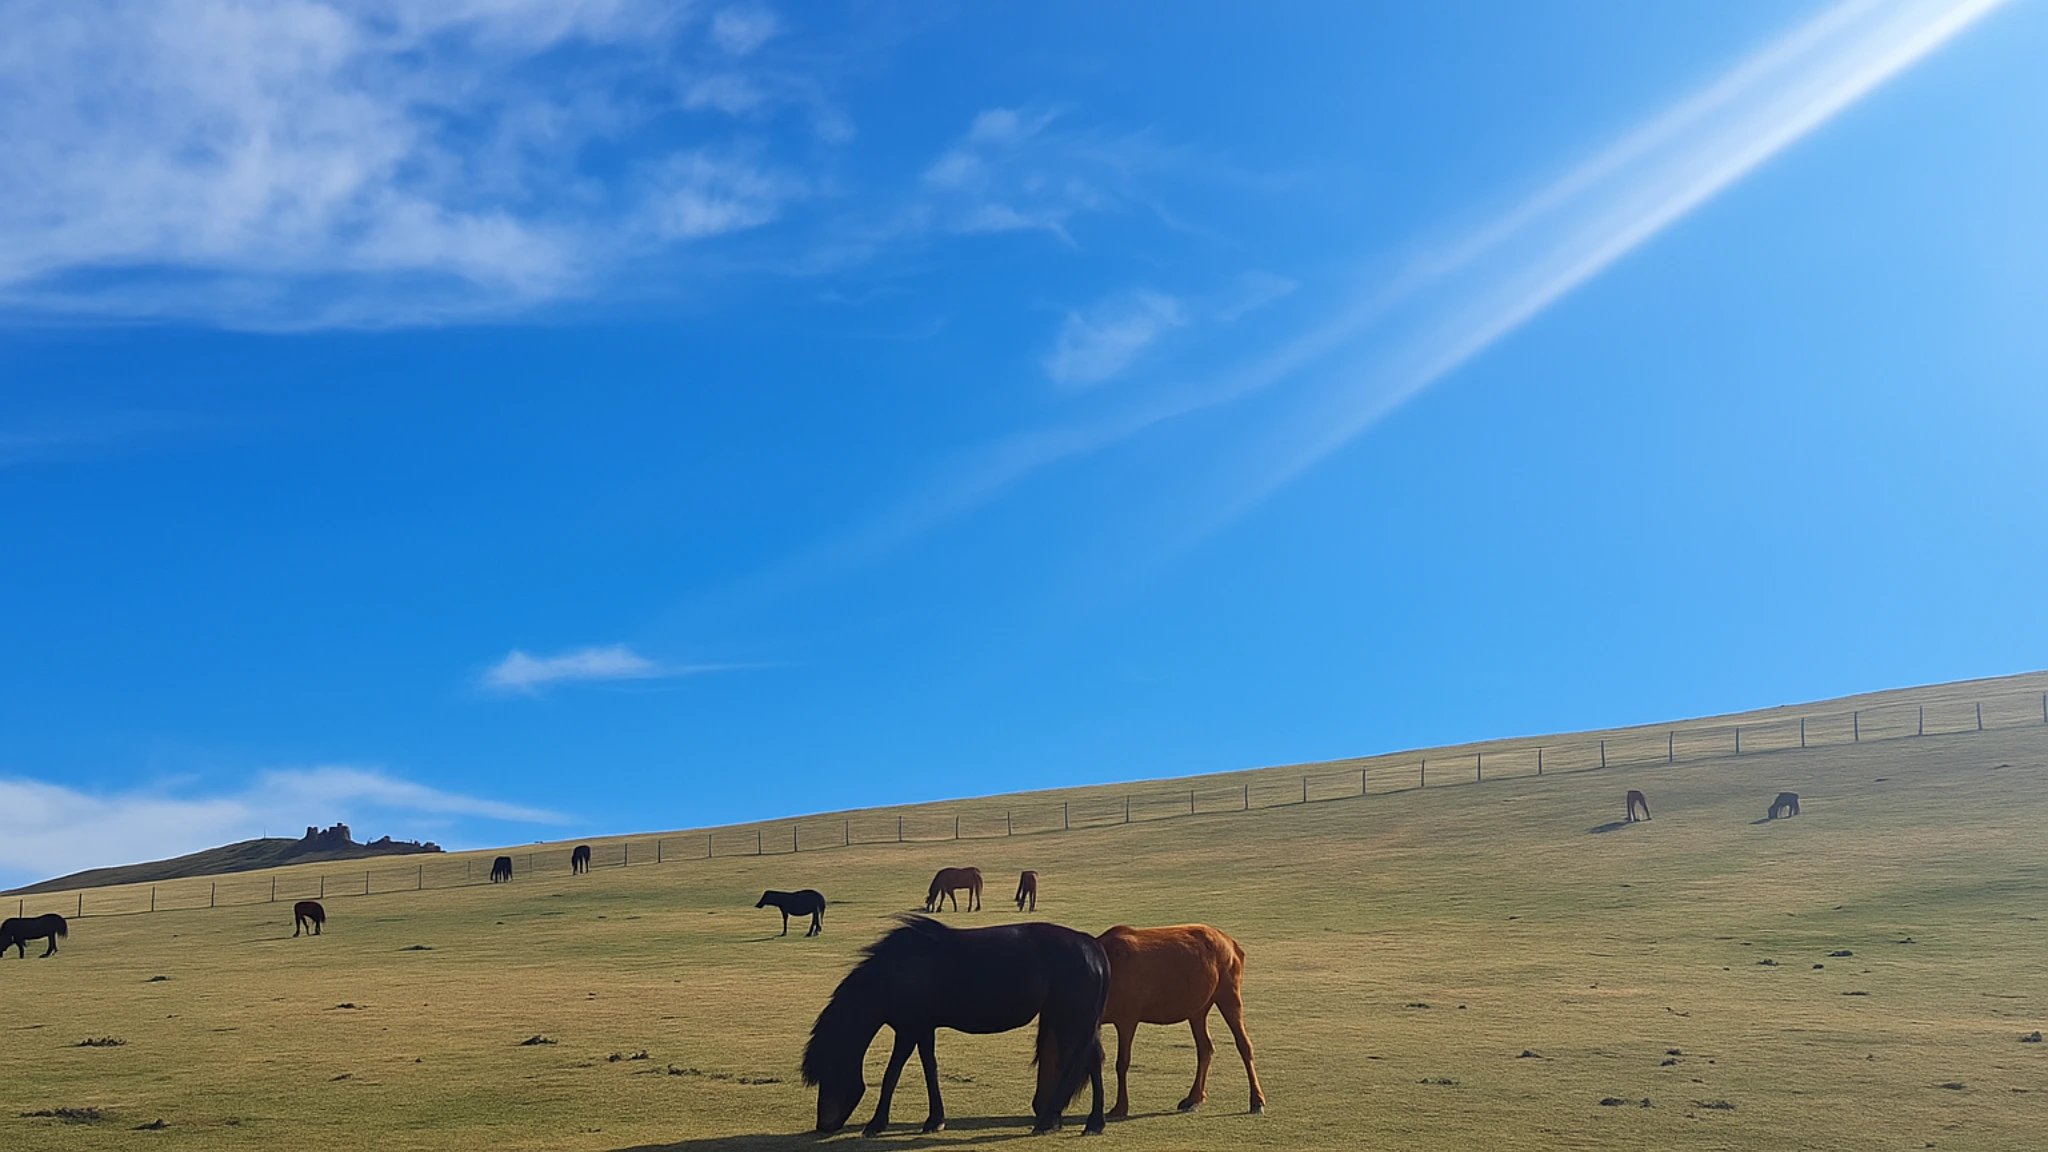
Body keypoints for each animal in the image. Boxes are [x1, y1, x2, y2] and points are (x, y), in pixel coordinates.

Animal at [803, 916, 1107, 1136]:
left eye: (828, 1074)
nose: (823, 1125)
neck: (898, 971)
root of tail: (1091, 945)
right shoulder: (923, 1029)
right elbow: (930, 1069)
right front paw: (934, 1119)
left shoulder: (908, 1030)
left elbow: (892, 1073)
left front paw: (876, 1124)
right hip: (1065, 1018)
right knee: (1087, 1061)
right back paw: (1070, 1121)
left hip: (1071, 1018)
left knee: (1082, 1063)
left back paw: (1072, 1122)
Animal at [1097, 924, 1265, 1118]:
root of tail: (1233, 944)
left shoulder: (1127, 1017)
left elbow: (1122, 1062)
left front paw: (1120, 1107)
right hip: (1199, 1008)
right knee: (1205, 1047)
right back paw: (1194, 1098)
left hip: (1229, 992)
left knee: (1243, 1044)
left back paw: (1257, 1100)